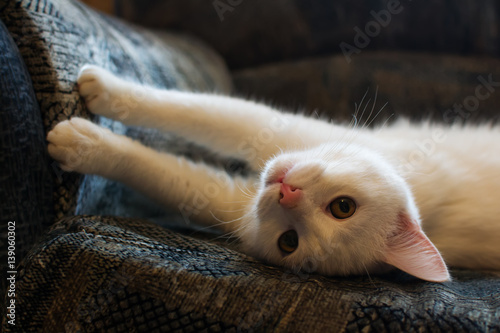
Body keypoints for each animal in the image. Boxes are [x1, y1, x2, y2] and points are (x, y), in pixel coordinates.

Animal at [47, 64, 500, 280]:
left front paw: (82, 142)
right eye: (344, 207)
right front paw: (106, 88)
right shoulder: (280, 131)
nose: (287, 193)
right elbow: (196, 109)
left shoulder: (227, 200)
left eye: (289, 242)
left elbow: (163, 169)